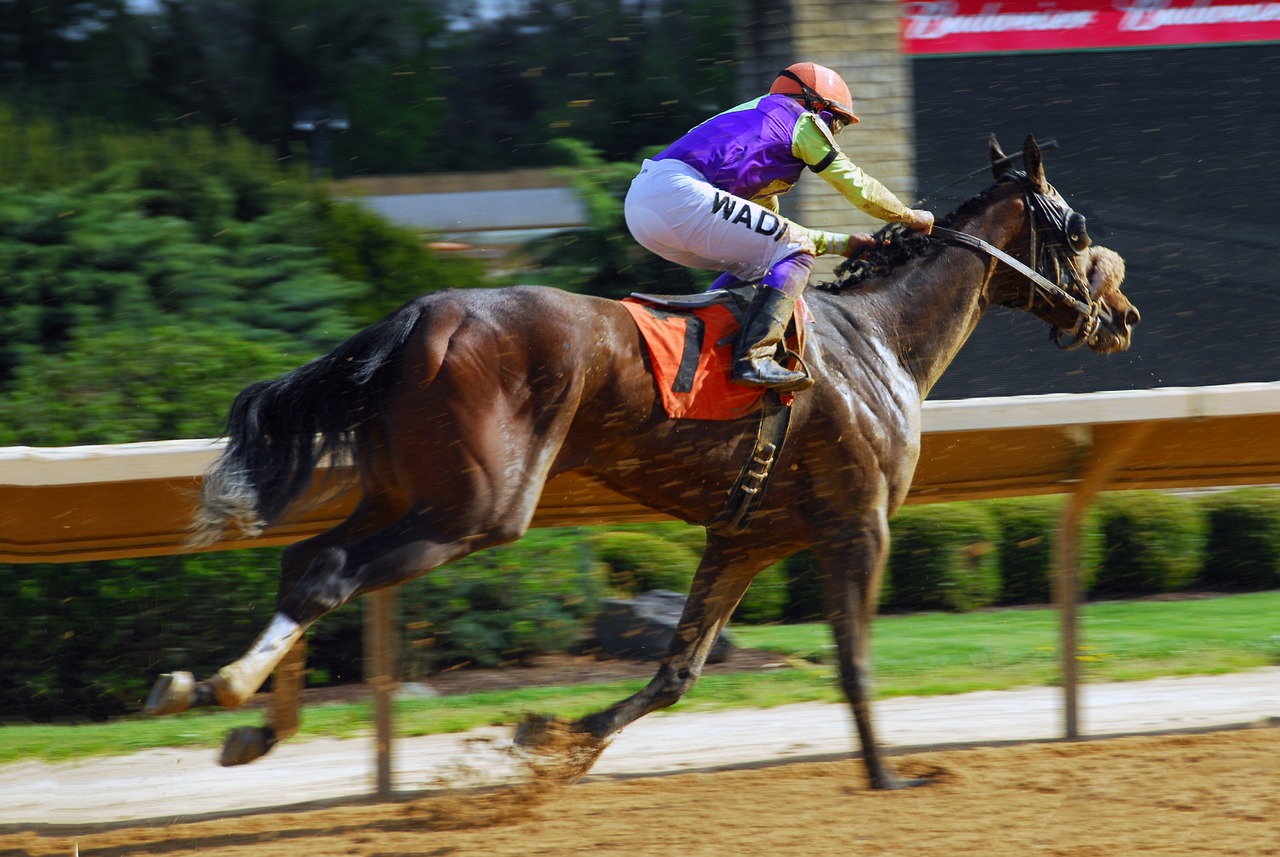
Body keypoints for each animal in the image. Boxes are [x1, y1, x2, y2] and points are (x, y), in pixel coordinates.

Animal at [147, 136, 1141, 793]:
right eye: (1074, 225)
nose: (1124, 317)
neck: (880, 340)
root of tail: (424, 312)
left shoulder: (746, 536)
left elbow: (676, 672)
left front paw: (553, 736)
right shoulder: (856, 524)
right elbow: (854, 661)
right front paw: (889, 775)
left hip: (406, 487)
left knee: (308, 559)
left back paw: (230, 709)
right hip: (475, 507)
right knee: (331, 572)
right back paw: (221, 690)